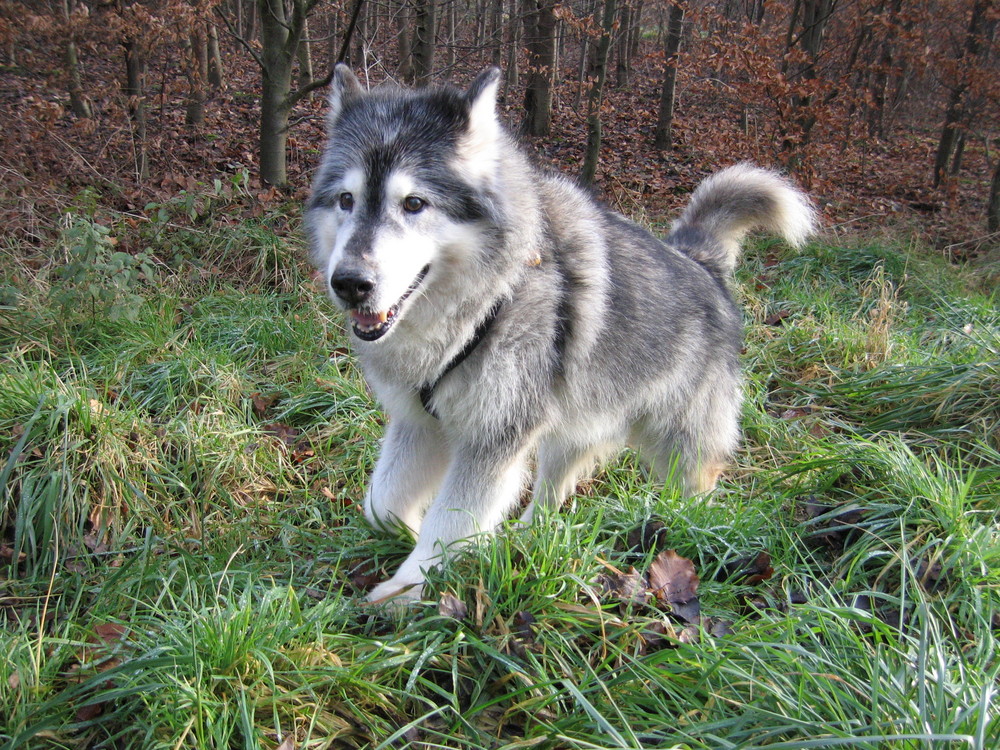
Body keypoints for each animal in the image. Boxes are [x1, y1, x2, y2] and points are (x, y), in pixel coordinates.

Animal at [306, 63, 820, 604]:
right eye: (346, 200)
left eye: (414, 203)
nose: (350, 284)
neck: (484, 306)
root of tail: (700, 261)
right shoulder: (420, 422)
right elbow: (381, 504)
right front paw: (406, 537)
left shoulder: (493, 438)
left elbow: (448, 524)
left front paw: (408, 589)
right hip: (568, 430)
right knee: (549, 499)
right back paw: (522, 541)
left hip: (678, 447)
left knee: (694, 489)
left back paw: (690, 530)